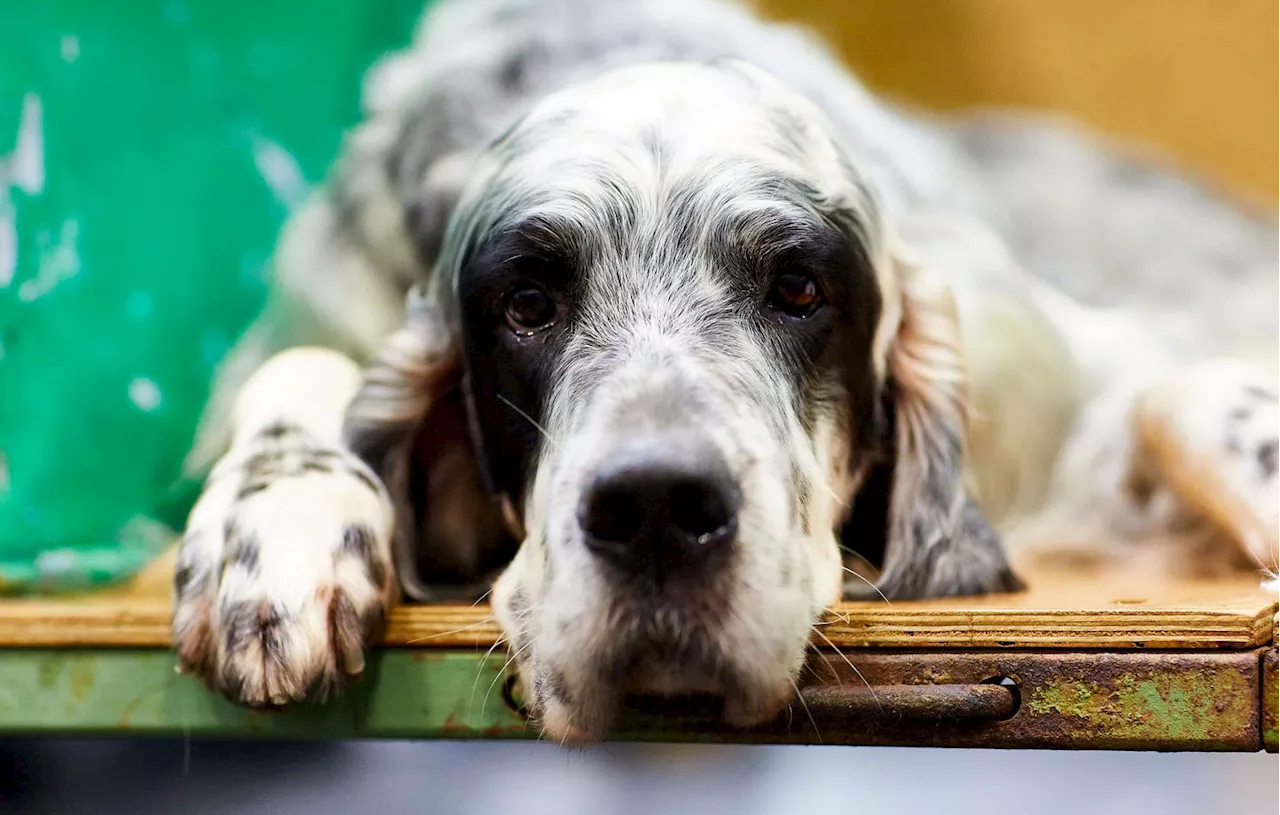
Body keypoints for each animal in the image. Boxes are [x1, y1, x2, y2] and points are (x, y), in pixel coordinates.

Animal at [170, 0, 1280, 742]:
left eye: (797, 288)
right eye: (525, 304)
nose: (657, 507)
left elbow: (1175, 390)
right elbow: (303, 363)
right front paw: (274, 525)